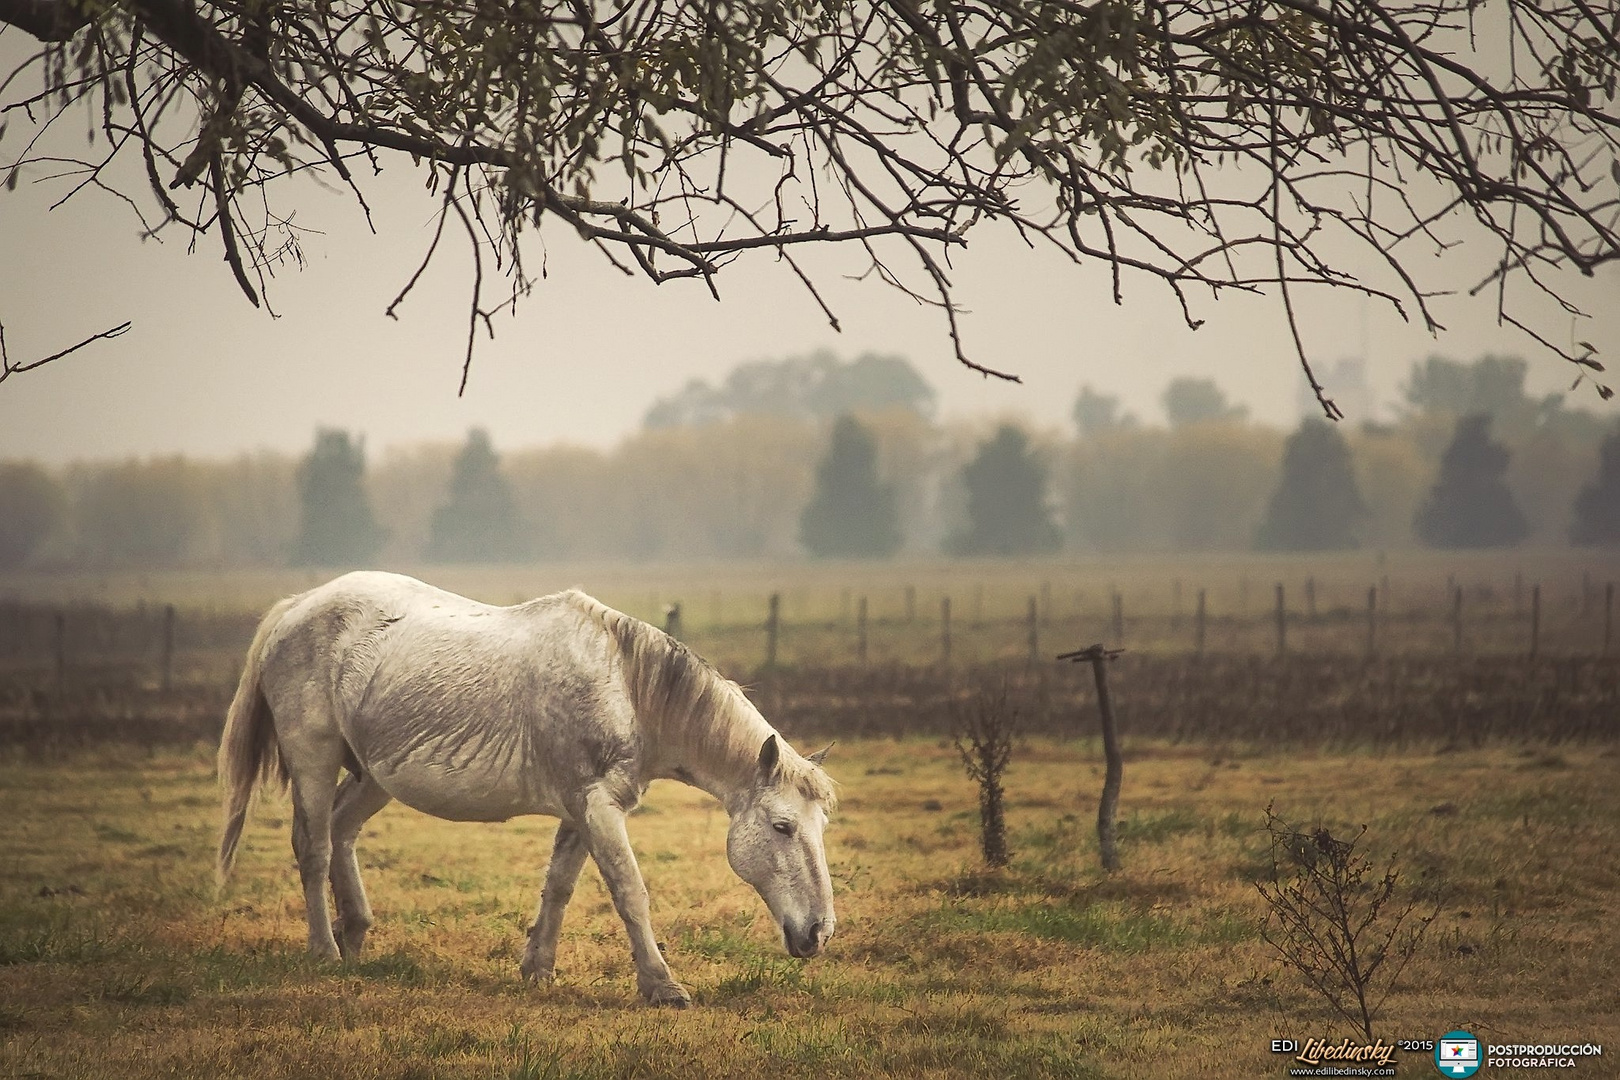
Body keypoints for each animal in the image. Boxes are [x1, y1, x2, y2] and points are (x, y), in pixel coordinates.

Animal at [215, 573, 835, 1003]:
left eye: (819, 826)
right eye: (782, 826)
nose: (817, 932)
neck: (626, 688)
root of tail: (297, 606)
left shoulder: (583, 810)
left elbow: (559, 886)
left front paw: (537, 970)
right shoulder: (598, 808)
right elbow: (629, 892)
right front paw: (662, 987)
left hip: (374, 773)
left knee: (341, 832)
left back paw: (355, 937)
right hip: (313, 760)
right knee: (314, 846)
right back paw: (325, 950)